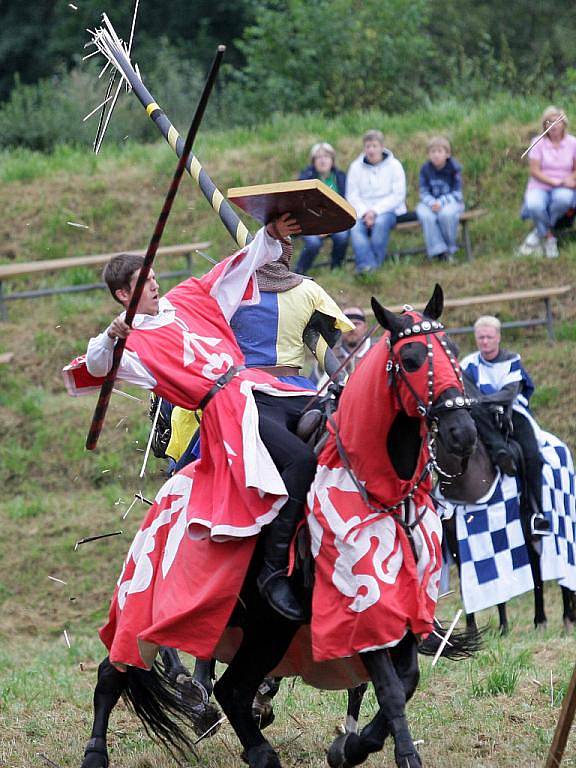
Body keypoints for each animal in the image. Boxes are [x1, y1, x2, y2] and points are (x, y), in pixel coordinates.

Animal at [80, 288, 476, 768]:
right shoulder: (360, 604)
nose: (461, 433)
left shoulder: (397, 608)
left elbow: (405, 680)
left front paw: (351, 746)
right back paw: (98, 751)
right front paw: (385, 750)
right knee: (115, 669)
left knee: (231, 688)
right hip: (160, 605)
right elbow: (391, 687)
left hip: (266, 629)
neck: (378, 487)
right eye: (412, 358)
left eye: (451, 350)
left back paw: (259, 746)